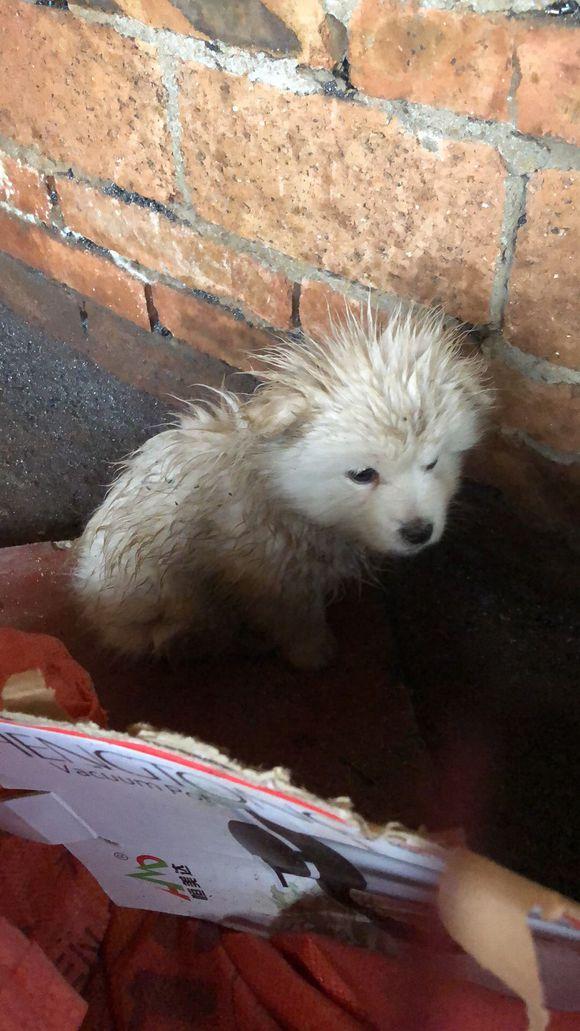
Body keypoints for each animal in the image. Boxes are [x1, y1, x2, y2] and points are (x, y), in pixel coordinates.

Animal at [72, 303, 490, 668]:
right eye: (362, 475)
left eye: (432, 463)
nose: (419, 532)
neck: (286, 494)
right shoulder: (271, 581)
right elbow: (297, 621)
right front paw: (314, 653)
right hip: (176, 608)